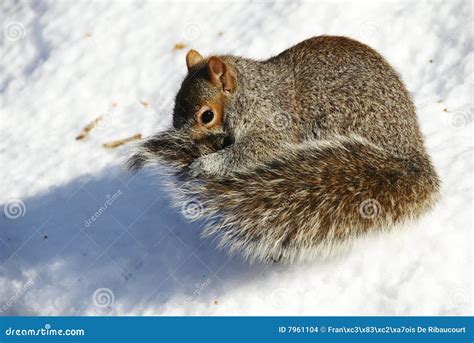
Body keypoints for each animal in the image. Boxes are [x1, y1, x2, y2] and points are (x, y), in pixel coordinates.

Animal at [130, 35, 440, 264]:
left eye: (207, 115)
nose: (182, 138)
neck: (249, 92)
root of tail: (411, 155)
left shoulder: (272, 122)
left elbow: (257, 150)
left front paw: (205, 164)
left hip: (336, 121)